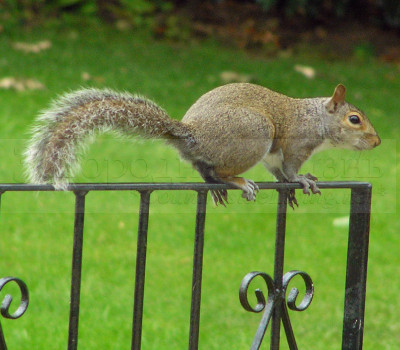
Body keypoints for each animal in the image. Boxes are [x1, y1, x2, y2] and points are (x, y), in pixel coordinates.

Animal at [25, 83, 382, 206]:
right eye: (354, 119)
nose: (377, 141)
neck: (316, 118)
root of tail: (190, 133)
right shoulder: (296, 143)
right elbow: (291, 167)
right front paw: (302, 180)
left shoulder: (273, 156)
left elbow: (278, 171)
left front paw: (290, 187)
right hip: (256, 131)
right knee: (220, 170)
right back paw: (237, 182)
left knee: (203, 167)